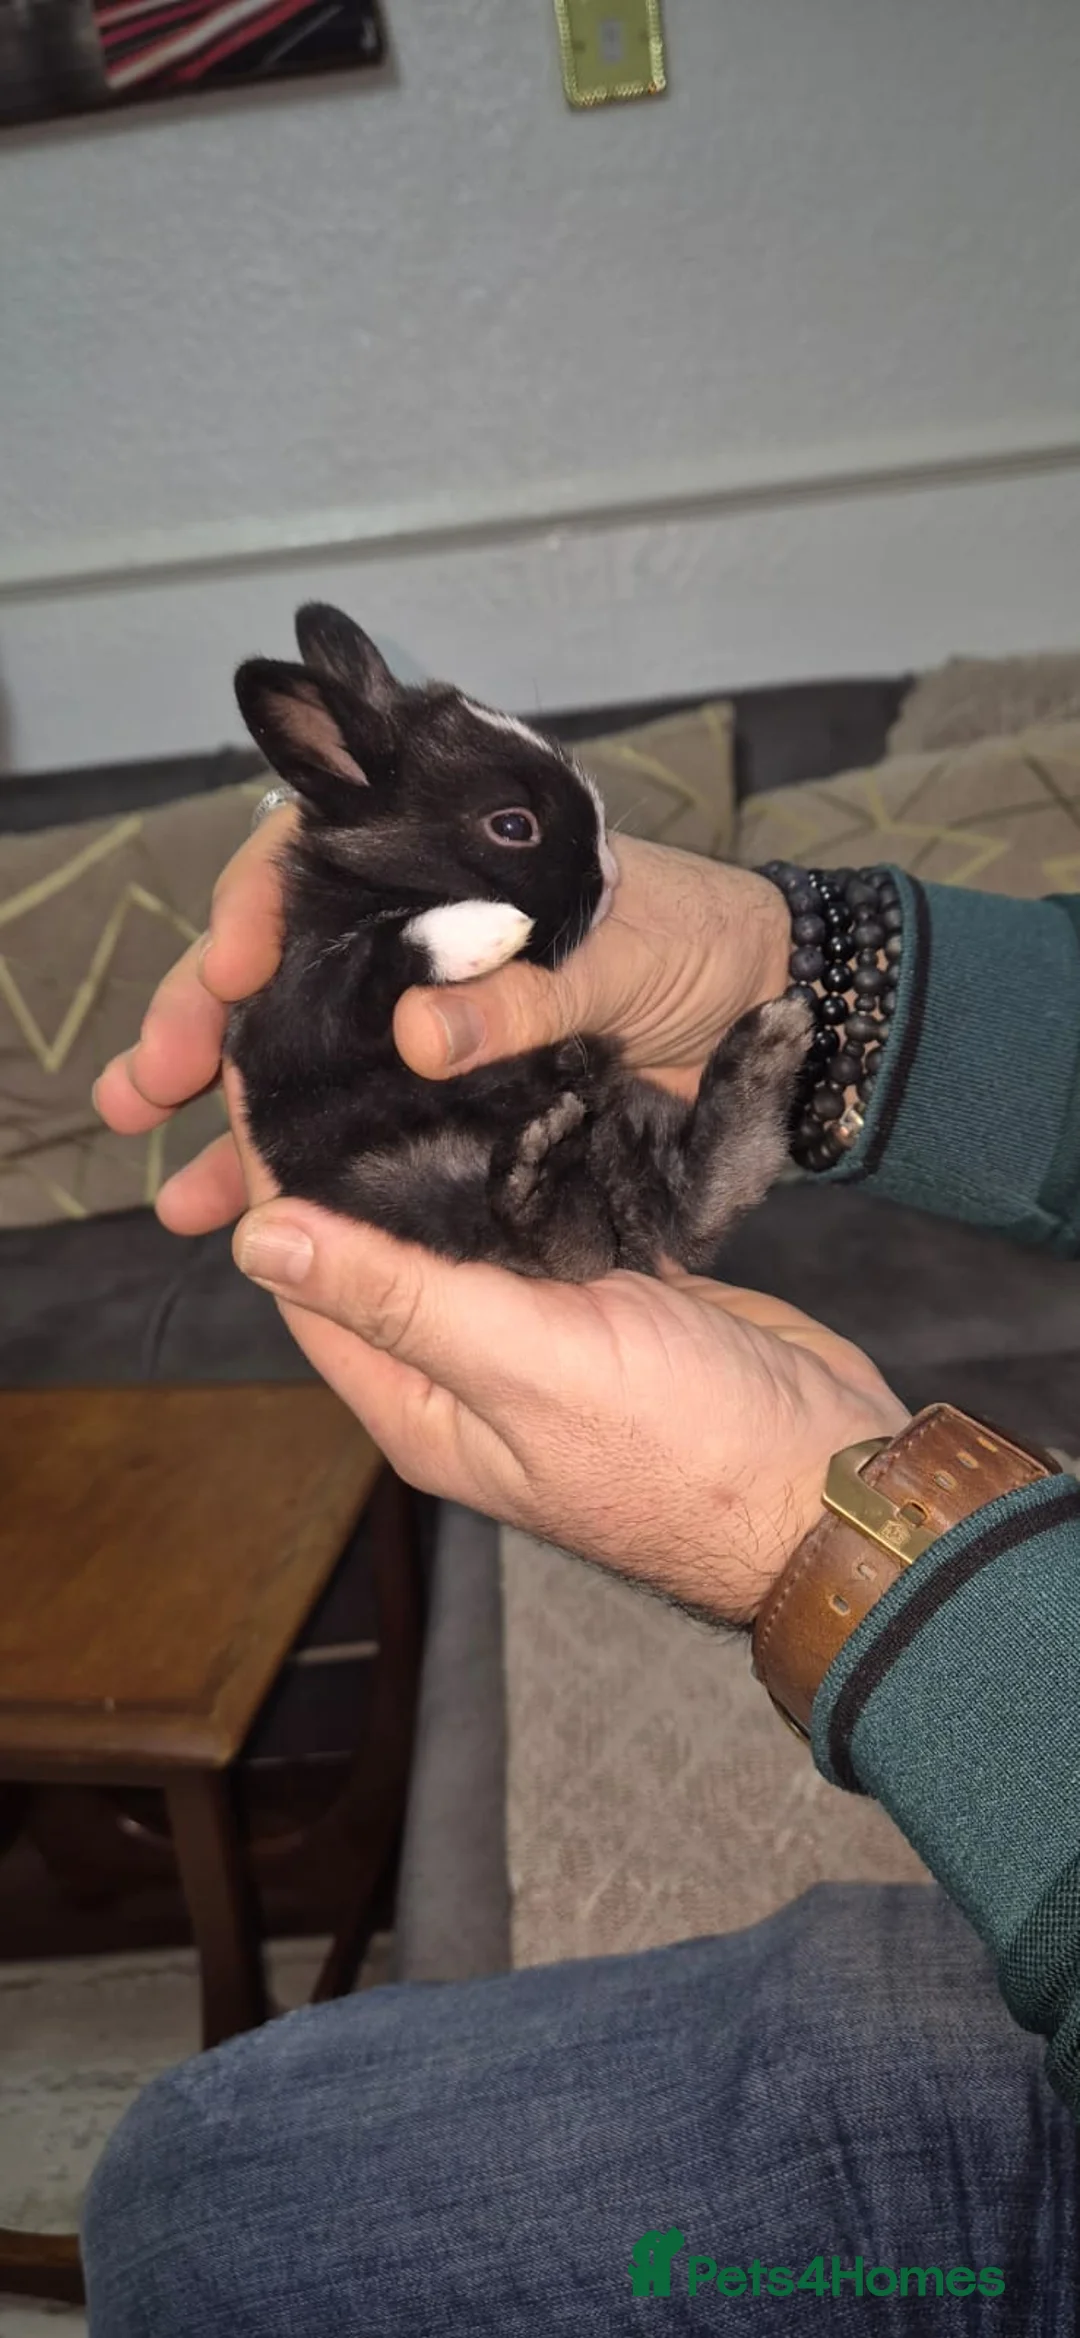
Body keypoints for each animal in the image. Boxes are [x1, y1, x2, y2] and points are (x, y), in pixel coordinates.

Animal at [225, 603, 810, 1282]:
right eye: (512, 826)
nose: (612, 878)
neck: (373, 883)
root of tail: (627, 1215)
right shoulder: (303, 1007)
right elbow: (377, 959)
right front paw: (495, 929)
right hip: (417, 1180)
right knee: (572, 1244)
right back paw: (542, 1164)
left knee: (694, 1199)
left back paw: (765, 1050)